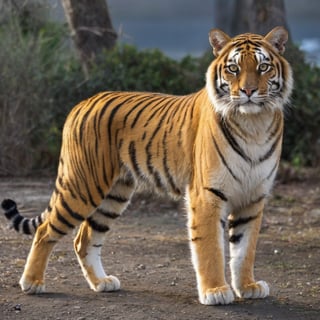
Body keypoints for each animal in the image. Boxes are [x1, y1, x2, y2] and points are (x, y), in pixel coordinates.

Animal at [1, 26, 292, 304]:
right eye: (233, 68)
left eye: (262, 67)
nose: (248, 92)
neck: (253, 124)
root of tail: (83, 102)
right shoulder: (208, 194)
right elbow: (210, 248)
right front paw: (215, 292)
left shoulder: (253, 197)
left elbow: (245, 250)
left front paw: (248, 287)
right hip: (82, 186)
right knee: (44, 230)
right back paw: (32, 283)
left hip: (113, 195)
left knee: (84, 239)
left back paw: (101, 283)